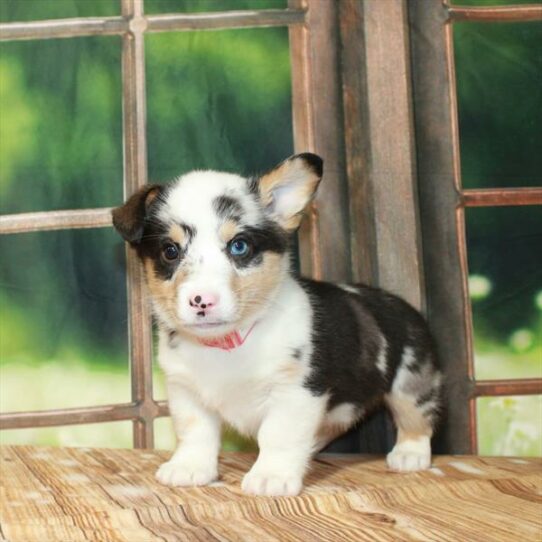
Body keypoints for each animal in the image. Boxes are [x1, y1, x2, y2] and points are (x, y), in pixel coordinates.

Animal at [112, 153, 444, 498]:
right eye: (170, 251)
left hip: (411, 380)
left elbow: (278, 436)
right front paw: (189, 469)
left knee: (417, 417)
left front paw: (271, 476)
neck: (228, 344)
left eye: (239, 246)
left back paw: (410, 455)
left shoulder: (296, 392)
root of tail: (402, 304)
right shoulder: (186, 393)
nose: (202, 301)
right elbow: (195, 433)